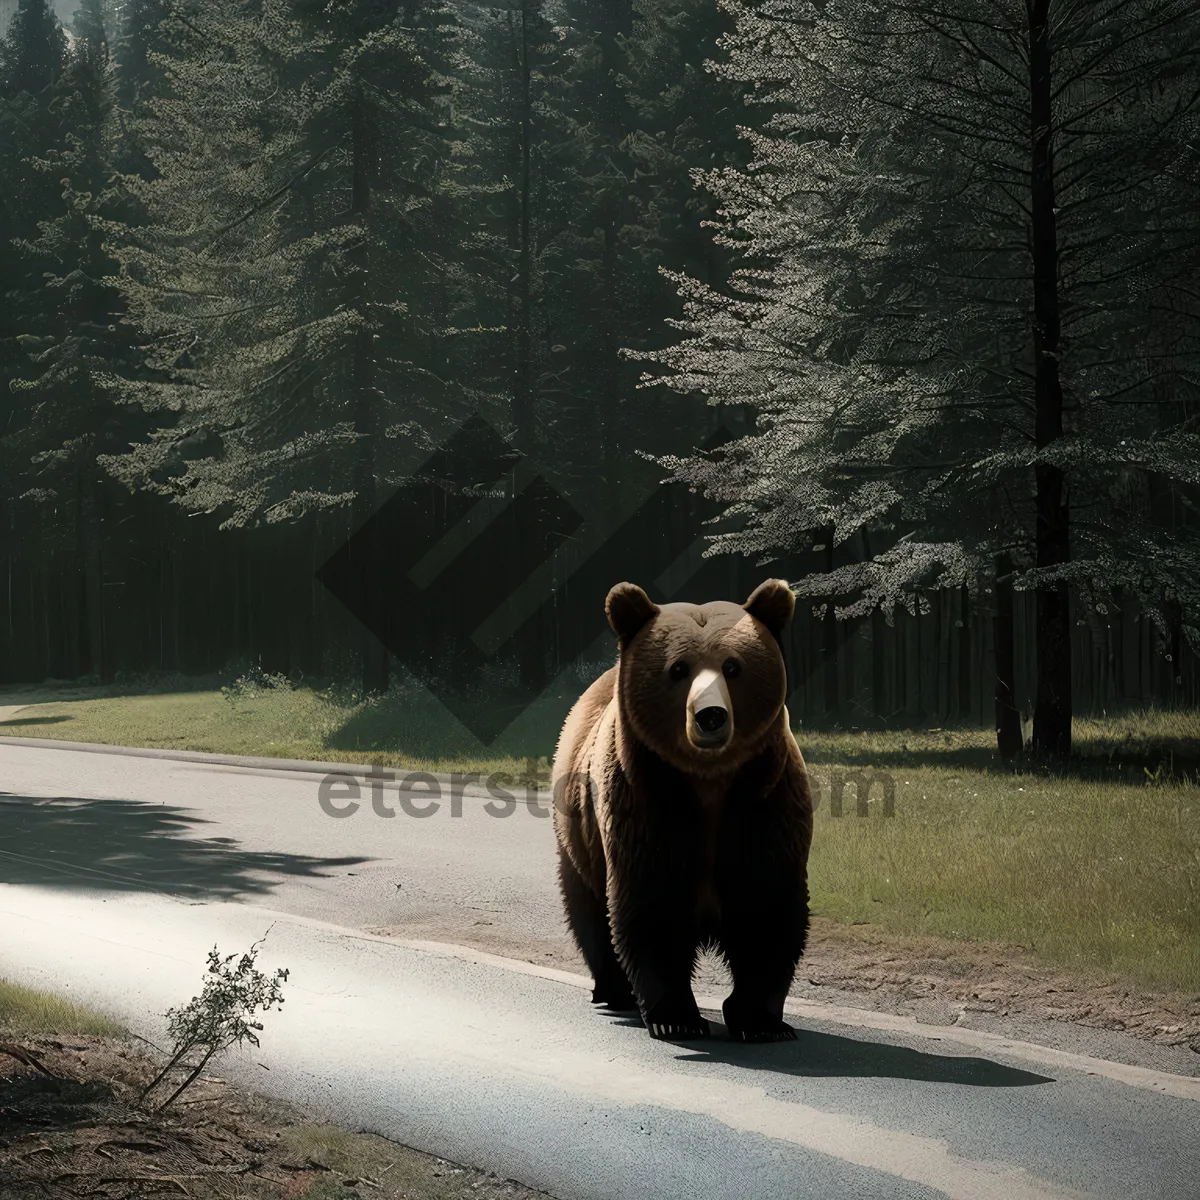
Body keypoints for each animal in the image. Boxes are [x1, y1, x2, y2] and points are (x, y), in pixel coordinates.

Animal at [552, 580, 816, 1041]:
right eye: (678, 669)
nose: (711, 716)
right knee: (589, 908)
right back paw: (612, 991)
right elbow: (653, 906)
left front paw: (761, 1021)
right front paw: (676, 1018)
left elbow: (767, 909)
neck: (709, 785)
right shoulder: (646, 811)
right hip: (580, 837)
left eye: (732, 666)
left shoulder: (766, 809)